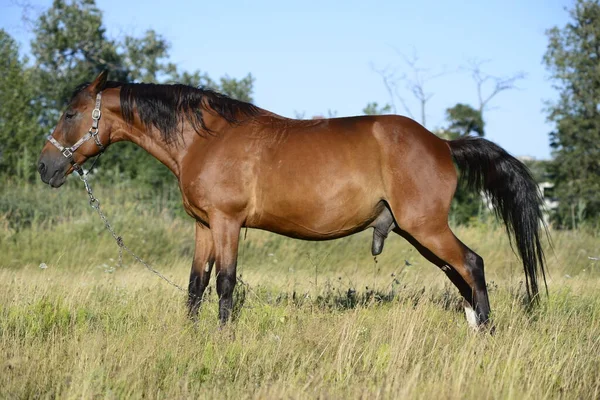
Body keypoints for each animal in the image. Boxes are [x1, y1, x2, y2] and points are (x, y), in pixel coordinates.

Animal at [35, 70, 548, 330]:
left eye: (70, 113)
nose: (45, 167)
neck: (205, 138)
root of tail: (441, 143)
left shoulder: (226, 223)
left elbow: (225, 285)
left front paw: (222, 340)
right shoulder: (203, 226)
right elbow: (195, 285)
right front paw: (190, 336)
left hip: (426, 227)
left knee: (472, 265)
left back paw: (487, 331)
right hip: (416, 232)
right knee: (460, 275)